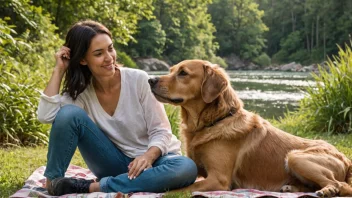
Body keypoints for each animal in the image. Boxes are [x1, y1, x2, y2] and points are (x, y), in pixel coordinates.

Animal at [147, 59, 352, 197]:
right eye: (171, 70)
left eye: (183, 73)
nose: (150, 80)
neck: (212, 122)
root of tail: (346, 159)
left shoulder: (219, 179)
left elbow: (177, 189)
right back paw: (291, 187)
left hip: (296, 157)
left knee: (340, 185)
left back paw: (327, 190)